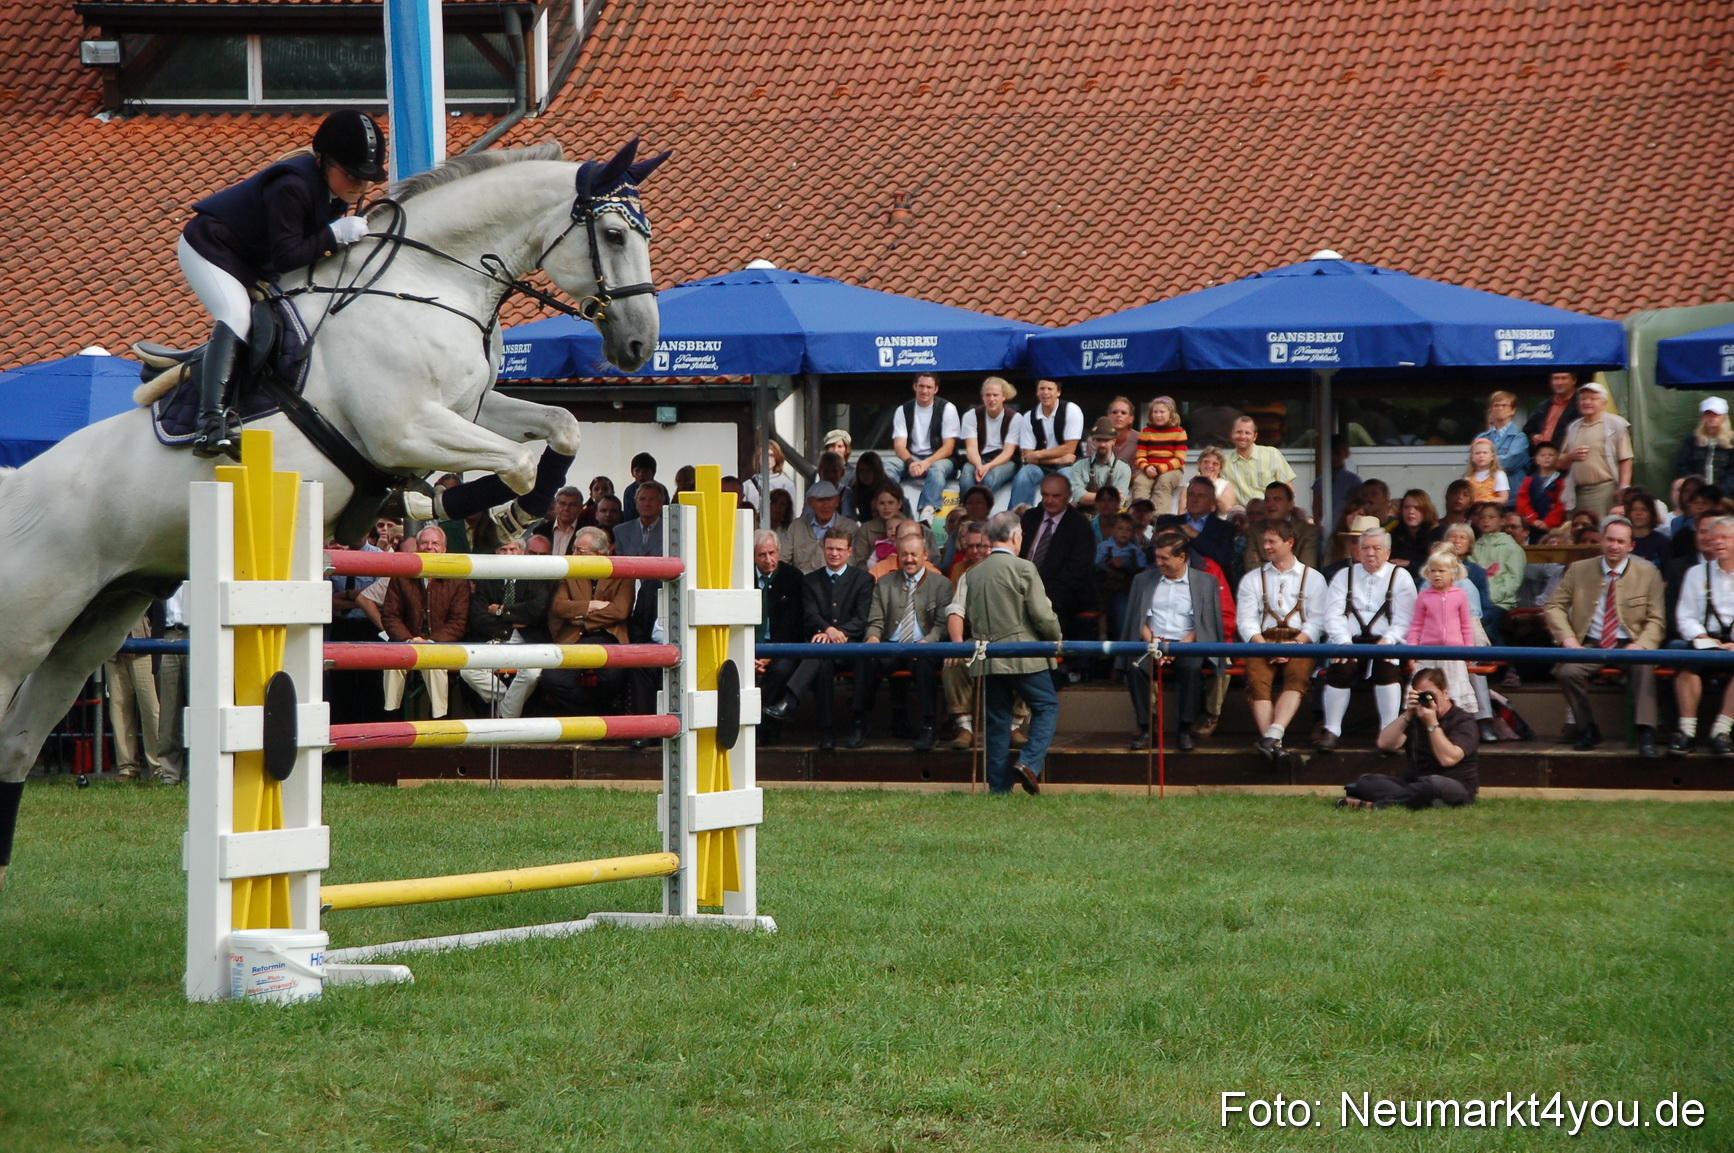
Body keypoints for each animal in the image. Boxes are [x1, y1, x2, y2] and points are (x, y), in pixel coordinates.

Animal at [0, 139, 667, 888]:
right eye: (614, 236)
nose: (640, 347)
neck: (433, 280)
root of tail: (15, 484)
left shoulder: (469, 407)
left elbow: (562, 427)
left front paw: (490, 514)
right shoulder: (404, 428)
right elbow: (517, 464)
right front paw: (458, 505)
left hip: (93, 627)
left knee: (17, 745)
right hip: (25, 627)